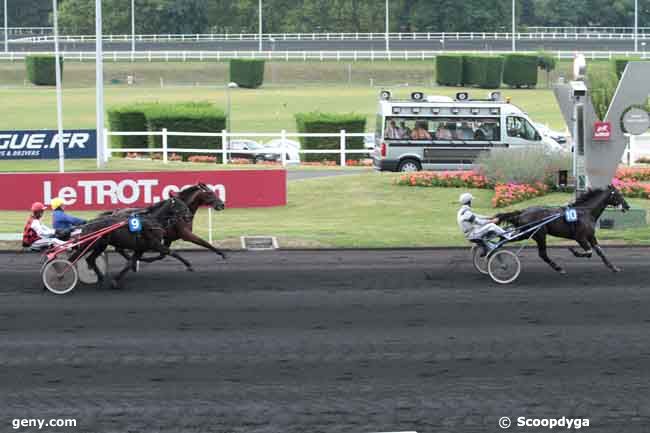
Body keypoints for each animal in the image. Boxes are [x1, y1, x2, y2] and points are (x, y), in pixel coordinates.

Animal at [496, 185, 628, 274]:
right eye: (618, 194)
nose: (627, 206)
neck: (585, 212)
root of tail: (523, 212)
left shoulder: (591, 236)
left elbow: (600, 252)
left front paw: (613, 267)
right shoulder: (580, 237)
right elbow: (589, 252)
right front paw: (574, 251)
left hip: (526, 233)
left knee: (503, 238)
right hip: (538, 234)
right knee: (542, 254)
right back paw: (559, 268)